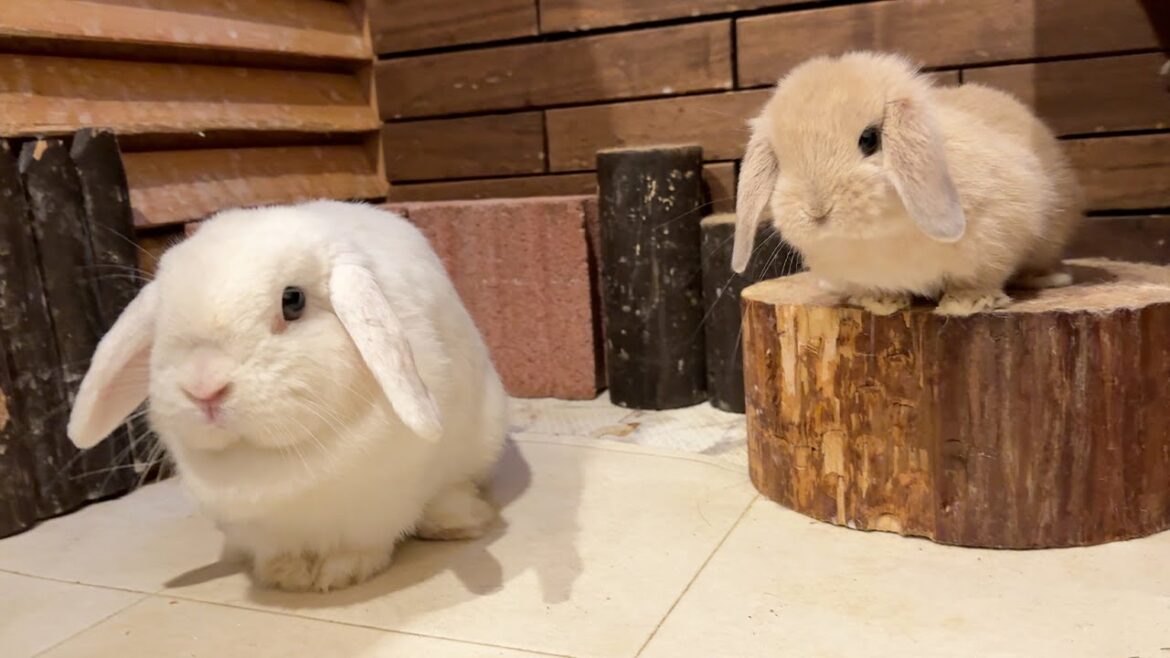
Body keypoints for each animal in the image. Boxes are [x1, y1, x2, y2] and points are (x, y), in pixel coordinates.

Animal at [67, 200, 508, 592]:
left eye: (292, 300)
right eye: (161, 320)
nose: (203, 387)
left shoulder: (377, 504)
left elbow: (361, 543)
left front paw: (340, 572)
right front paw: (287, 574)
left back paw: (460, 520)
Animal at [731, 51, 1082, 316]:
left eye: (870, 139)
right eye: (780, 159)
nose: (817, 210)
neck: (876, 236)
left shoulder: (998, 236)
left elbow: (981, 278)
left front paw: (965, 303)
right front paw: (880, 302)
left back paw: (1052, 278)